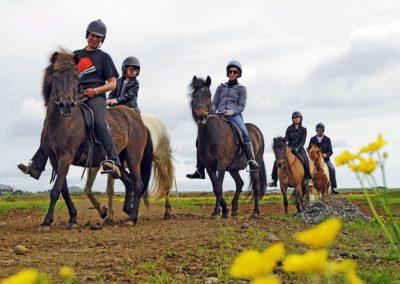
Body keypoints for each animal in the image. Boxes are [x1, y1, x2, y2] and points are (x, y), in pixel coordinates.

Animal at [38, 49, 150, 231]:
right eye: (55, 75)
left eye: (76, 76)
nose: (66, 105)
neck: (60, 122)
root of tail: (137, 119)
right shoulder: (55, 160)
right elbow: (63, 190)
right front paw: (73, 218)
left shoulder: (66, 157)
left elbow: (55, 191)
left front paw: (46, 222)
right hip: (120, 160)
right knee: (129, 182)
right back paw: (126, 211)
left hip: (134, 157)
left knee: (138, 184)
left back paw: (132, 217)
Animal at [189, 75, 268, 217]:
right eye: (194, 95)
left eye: (208, 95)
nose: (201, 115)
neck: (212, 134)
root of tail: (256, 130)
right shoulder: (209, 167)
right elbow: (216, 187)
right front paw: (224, 210)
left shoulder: (221, 164)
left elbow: (219, 187)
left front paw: (217, 212)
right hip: (233, 169)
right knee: (240, 183)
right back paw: (235, 209)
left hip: (255, 165)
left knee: (256, 188)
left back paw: (255, 212)